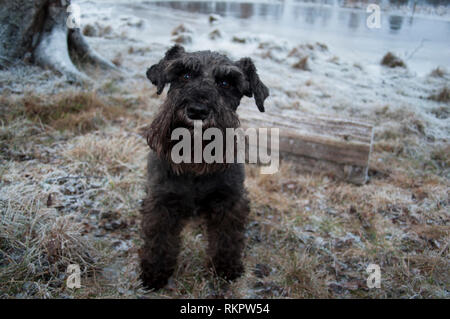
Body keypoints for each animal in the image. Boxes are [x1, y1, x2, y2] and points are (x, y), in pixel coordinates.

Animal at [140, 43, 268, 292]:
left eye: (226, 83)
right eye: (184, 75)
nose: (197, 110)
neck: (194, 164)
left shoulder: (229, 201)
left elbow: (228, 238)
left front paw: (225, 268)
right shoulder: (161, 201)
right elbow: (158, 238)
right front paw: (154, 272)